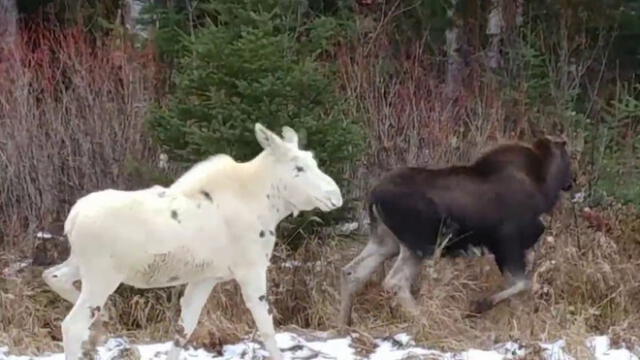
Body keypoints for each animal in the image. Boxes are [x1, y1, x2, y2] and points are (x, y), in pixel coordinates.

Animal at [42, 122, 342, 358]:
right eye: (299, 167)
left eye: (314, 162)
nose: (335, 195)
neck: (268, 206)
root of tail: (72, 218)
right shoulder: (251, 269)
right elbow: (267, 327)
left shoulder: (206, 277)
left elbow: (183, 329)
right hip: (102, 275)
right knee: (71, 325)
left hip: (80, 264)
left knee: (52, 275)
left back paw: (101, 323)